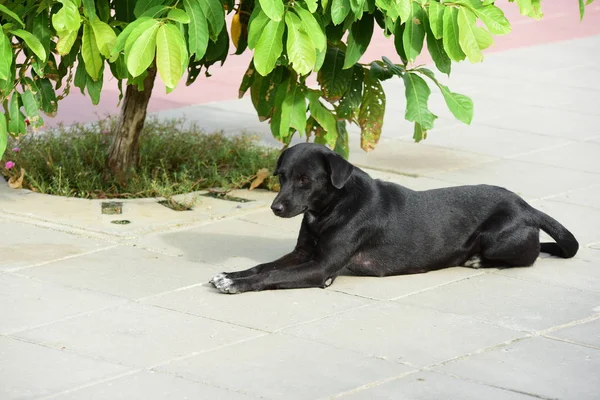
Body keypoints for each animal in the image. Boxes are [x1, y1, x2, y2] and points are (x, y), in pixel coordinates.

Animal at [210, 142, 576, 292]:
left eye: (304, 180)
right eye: (282, 176)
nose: (276, 208)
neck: (334, 207)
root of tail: (527, 206)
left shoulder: (321, 268)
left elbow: (271, 276)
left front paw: (235, 285)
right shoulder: (303, 252)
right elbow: (263, 267)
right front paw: (230, 274)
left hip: (496, 236)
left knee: (529, 257)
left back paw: (478, 261)